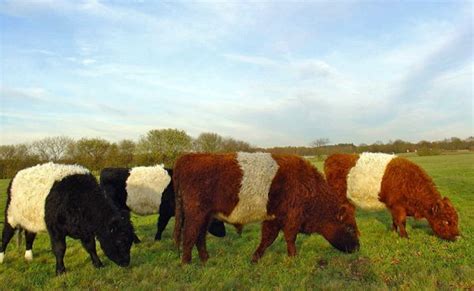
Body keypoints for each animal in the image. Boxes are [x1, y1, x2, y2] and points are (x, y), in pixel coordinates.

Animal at [0, 163, 133, 278]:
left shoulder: (85, 230)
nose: (126, 262)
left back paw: (28, 256)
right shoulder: (55, 228)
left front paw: (98, 264)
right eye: (120, 240)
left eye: (130, 242)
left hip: (31, 220)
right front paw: (60, 270)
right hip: (11, 216)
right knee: (6, 236)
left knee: (29, 235)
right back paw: (1, 258)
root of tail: (17, 174)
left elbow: (91, 246)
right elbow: (60, 249)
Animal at [99, 165, 227, 243]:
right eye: (216, 220)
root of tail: (106, 170)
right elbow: (161, 225)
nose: (224, 233)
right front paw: (157, 239)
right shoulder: (165, 211)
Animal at [172, 153, 358, 264]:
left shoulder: (273, 218)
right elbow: (290, 238)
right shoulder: (292, 218)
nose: (357, 248)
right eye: (350, 228)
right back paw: (187, 263)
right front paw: (293, 258)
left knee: (200, 237)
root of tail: (187, 157)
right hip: (196, 214)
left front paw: (255, 258)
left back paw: (205, 260)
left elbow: (267, 239)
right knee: (189, 235)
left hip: (206, 216)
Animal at [324, 153, 462, 242]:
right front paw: (405, 237)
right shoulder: (398, 206)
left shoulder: (393, 207)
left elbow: (395, 221)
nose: (458, 236)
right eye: (445, 221)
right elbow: (401, 221)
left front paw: (394, 232)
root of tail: (333, 157)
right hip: (342, 199)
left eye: (457, 219)